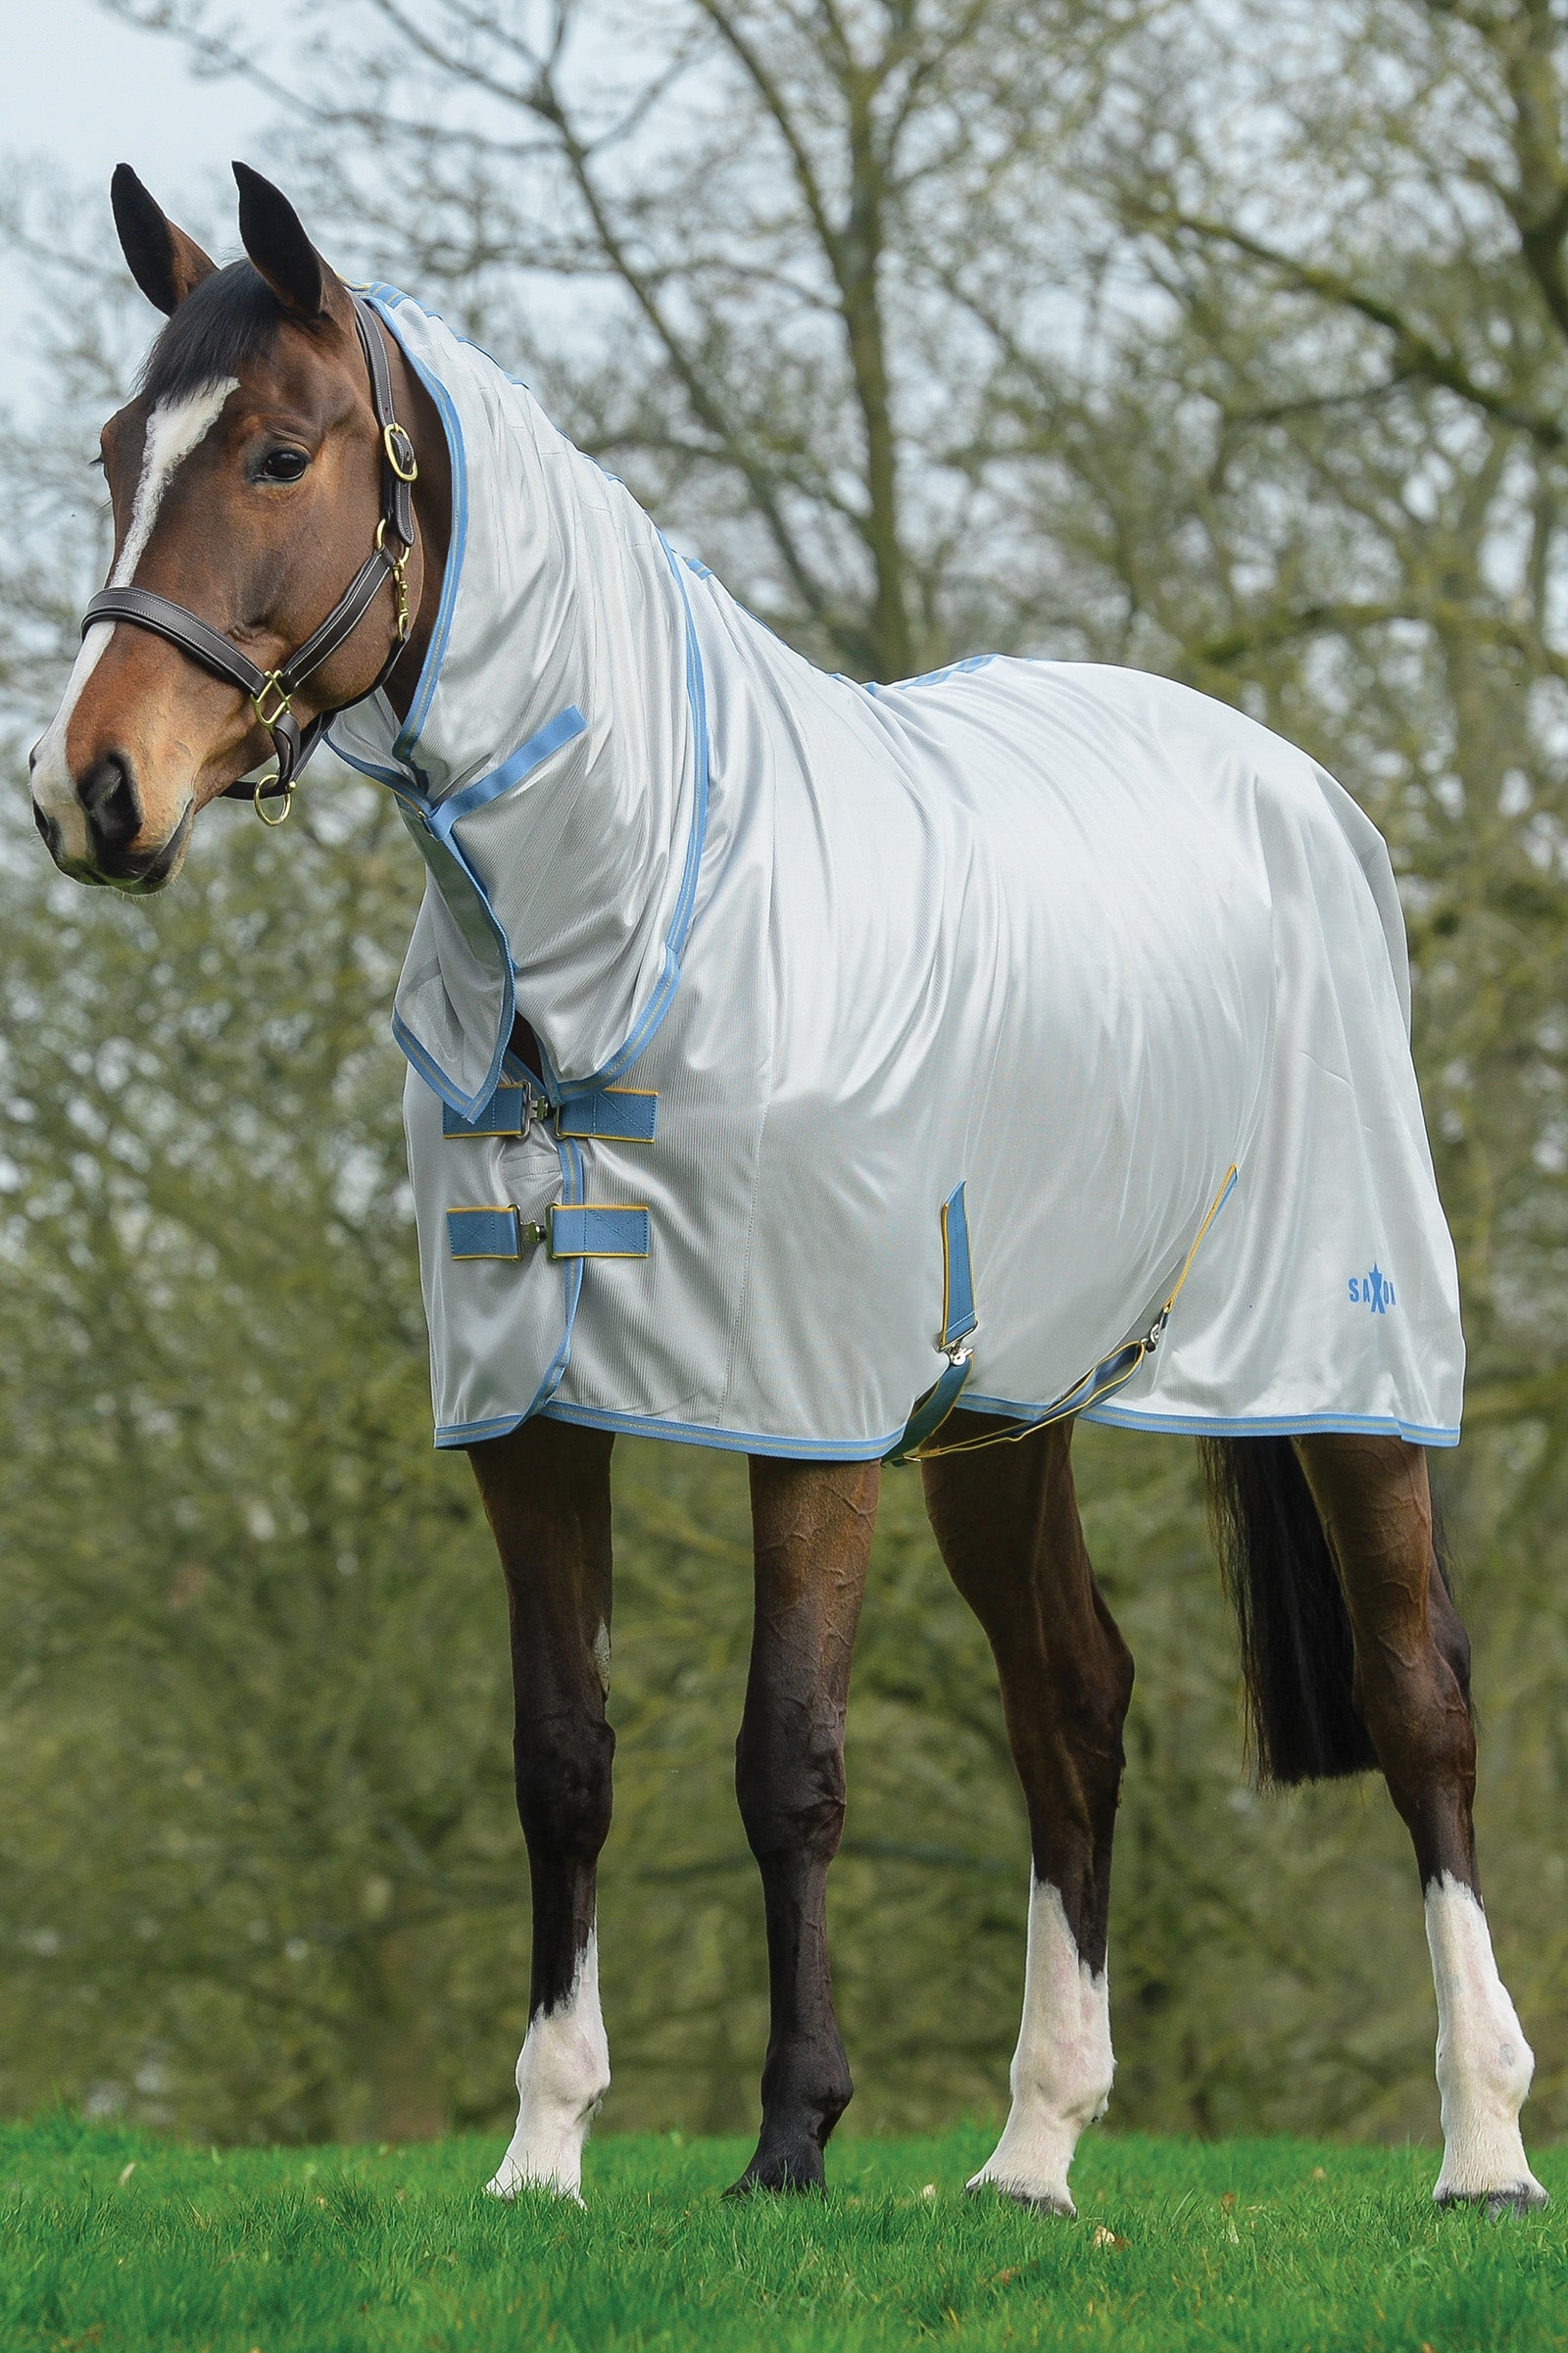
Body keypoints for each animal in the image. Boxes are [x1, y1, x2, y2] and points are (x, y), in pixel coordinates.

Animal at [28, 162, 1546, 2218]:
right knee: (1071, 1700)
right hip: (1003, 1414)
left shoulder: (808, 1420)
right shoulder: (529, 1418)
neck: (657, 901)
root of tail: (1302, 794)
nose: (85, 791)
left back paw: (1483, 2145)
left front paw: (790, 2138)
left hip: (1347, 1361)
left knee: (1419, 1698)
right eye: (121, 447)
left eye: (276, 451)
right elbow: (561, 1760)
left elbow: (790, 1760)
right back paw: (1034, 2155)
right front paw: (542, 2147)